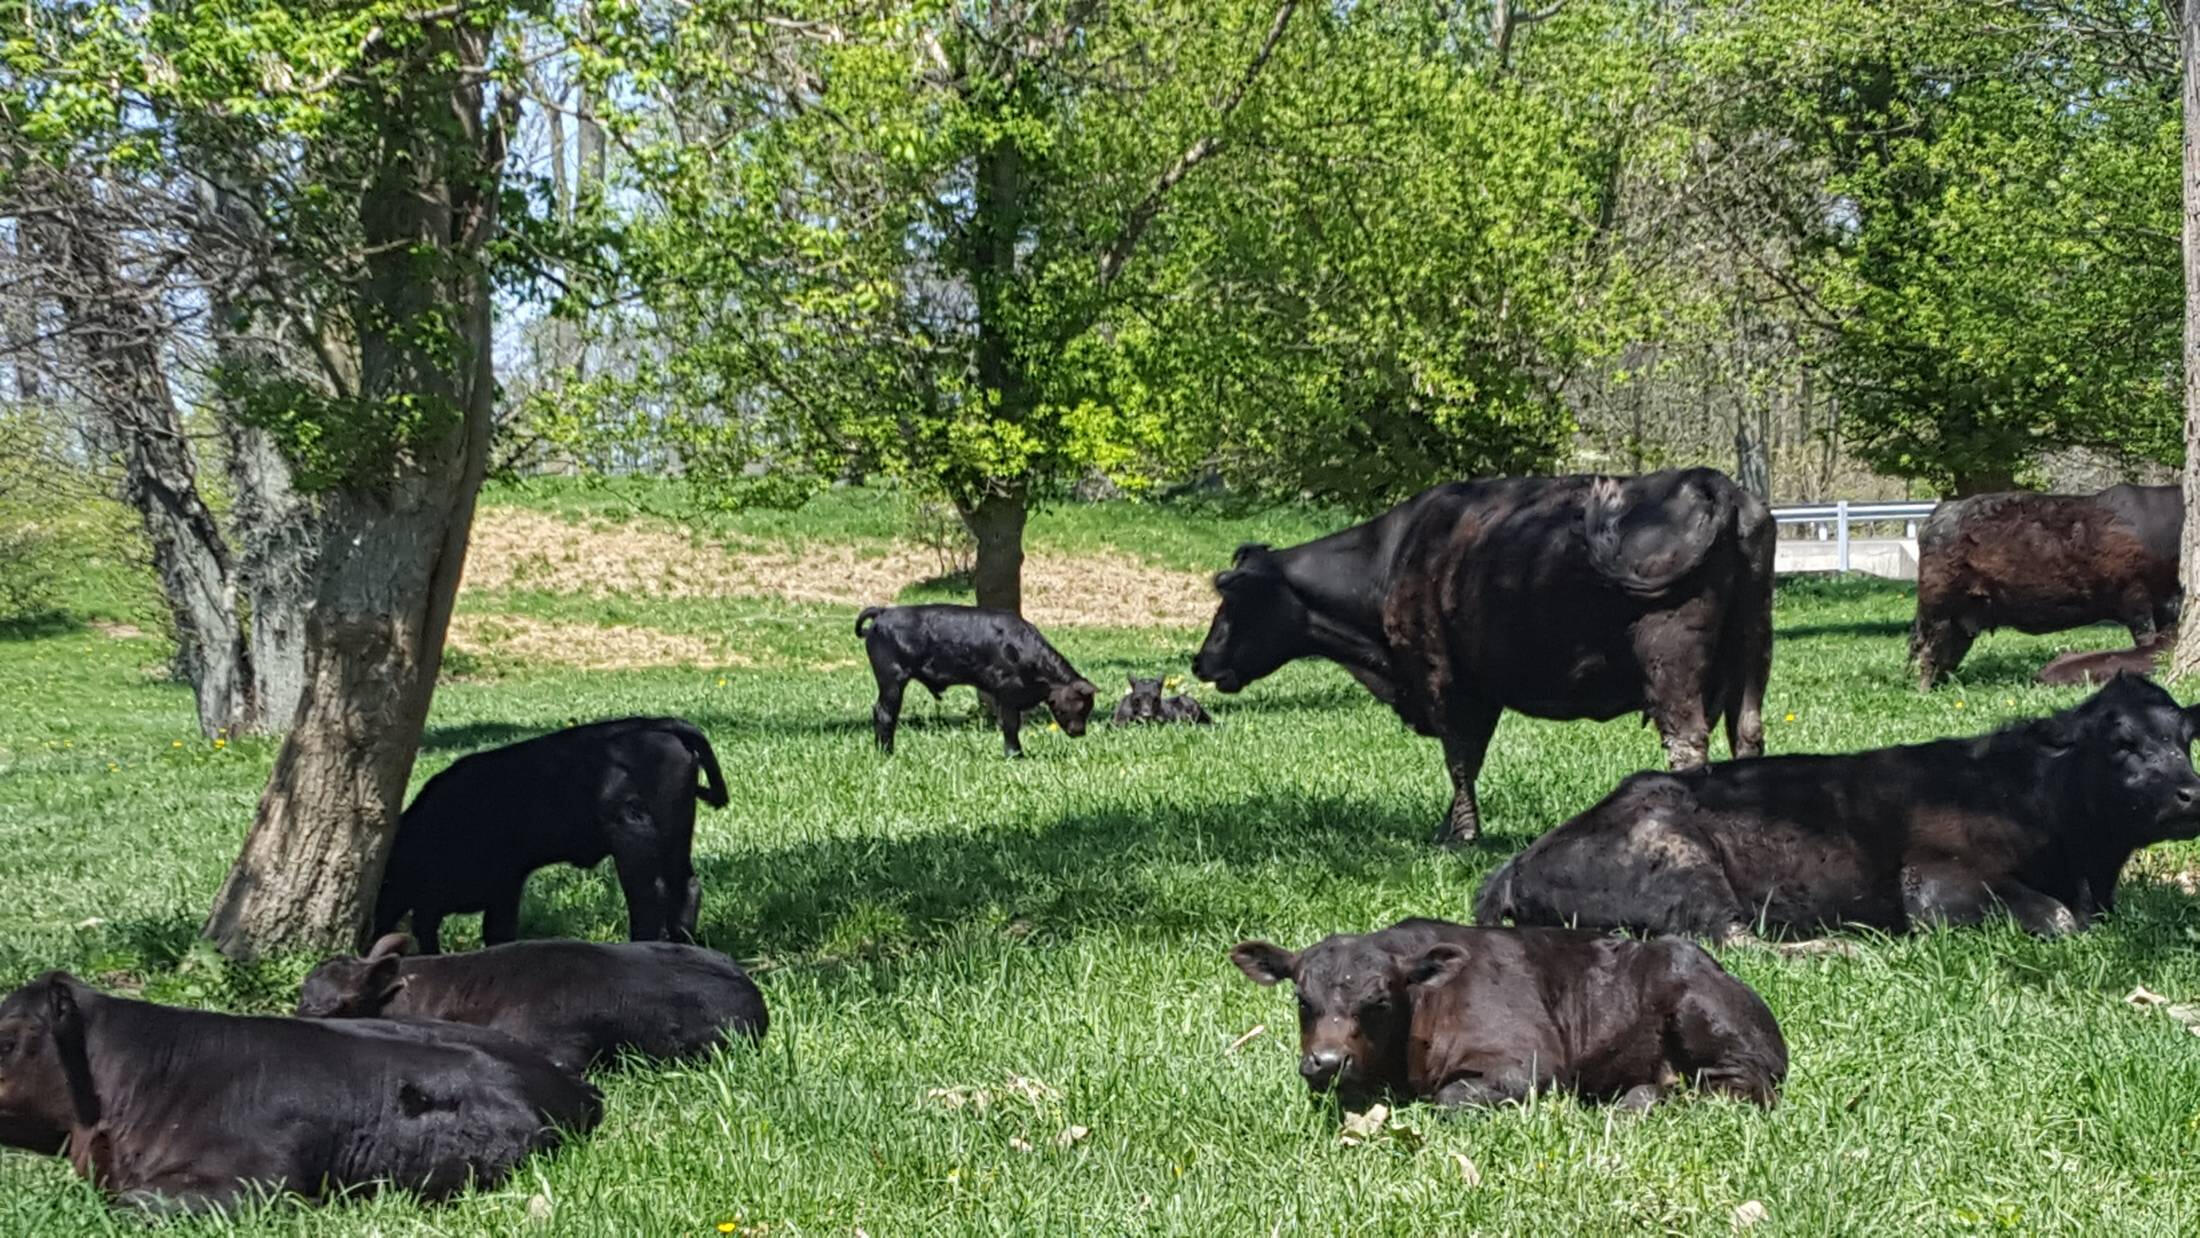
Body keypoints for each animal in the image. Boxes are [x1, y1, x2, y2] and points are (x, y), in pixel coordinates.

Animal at [377, 716, 725, 955]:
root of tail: (654, 725)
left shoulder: (497, 888)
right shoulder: (493, 891)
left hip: (635, 842)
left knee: (649, 897)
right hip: (675, 833)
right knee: (685, 886)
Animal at [855, 604, 1096, 757]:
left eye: (1088, 708)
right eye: (1080, 706)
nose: (1080, 732)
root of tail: (884, 612)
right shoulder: (1006, 695)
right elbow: (1011, 726)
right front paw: (1015, 754)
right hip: (892, 681)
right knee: (885, 714)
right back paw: (887, 753)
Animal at [1193, 469, 1774, 842]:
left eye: (1232, 600)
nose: (1200, 663)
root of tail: (1710, 483)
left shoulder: (1441, 675)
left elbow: (1459, 755)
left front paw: (1462, 835)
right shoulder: (1479, 684)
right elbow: (1470, 755)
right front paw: (1448, 828)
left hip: (1671, 662)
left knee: (1687, 743)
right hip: (1753, 650)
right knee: (1746, 734)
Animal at [1230, 918, 1785, 1113]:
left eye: (1379, 1002)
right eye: (1303, 1000)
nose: (1326, 1061)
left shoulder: (1529, 1063)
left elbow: (1449, 1099)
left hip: (1705, 1015)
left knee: (1733, 1088)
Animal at [1475, 675, 2200, 944]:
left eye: (2186, 739)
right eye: (2119, 743)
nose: (2190, 794)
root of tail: (1519, 862)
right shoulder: (1935, 884)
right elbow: (2058, 918)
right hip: (1683, 867)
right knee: (1735, 939)